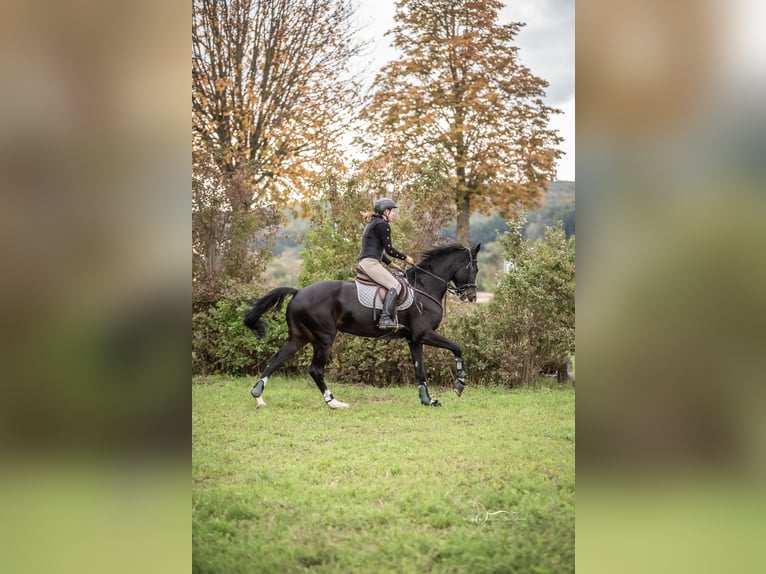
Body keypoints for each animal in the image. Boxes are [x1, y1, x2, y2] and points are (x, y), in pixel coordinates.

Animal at [243, 243, 484, 410]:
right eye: (474, 268)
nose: (471, 297)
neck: (424, 288)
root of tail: (298, 291)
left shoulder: (414, 339)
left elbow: (420, 370)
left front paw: (428, 400)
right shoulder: (425, 334)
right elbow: (457, 347)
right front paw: (459, 383)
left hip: (299, 337)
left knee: (275, 360)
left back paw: (258, 396)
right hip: (324, 338)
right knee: (315, 370)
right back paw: (334, 402)